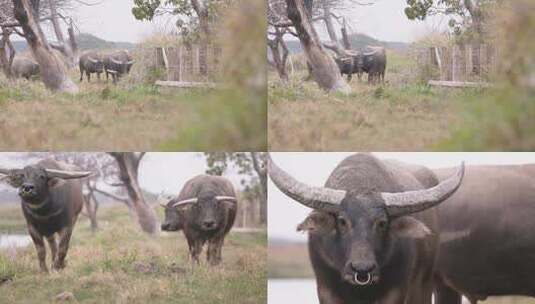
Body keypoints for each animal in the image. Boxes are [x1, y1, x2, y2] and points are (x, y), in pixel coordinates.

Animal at [268, 153, 464, 304]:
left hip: (425, 283)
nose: (362, 270)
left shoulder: (396, 290)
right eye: (342, 221)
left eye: (382, 223)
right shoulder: (325, 289)